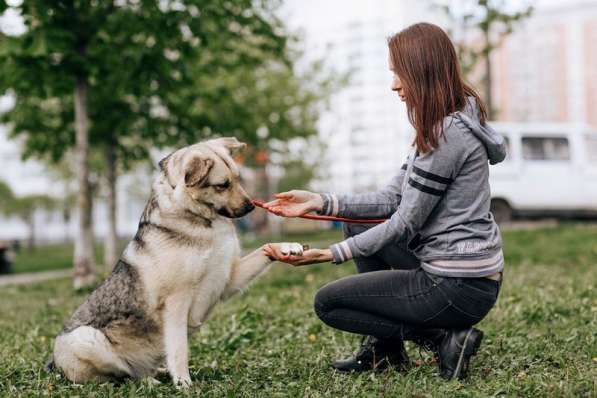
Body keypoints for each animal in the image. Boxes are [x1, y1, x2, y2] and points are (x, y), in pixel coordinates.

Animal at [50, 138, 302, 388]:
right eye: (222, 185)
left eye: (238, 178)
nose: (250, 207)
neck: (199, 217)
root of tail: (54, 364)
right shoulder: (177, 302)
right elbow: (179, 349)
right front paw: (183, 383)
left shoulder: (228, 279)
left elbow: (264, 249)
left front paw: (286, 247)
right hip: (86, 338)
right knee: (122, 375)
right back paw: (149, 381)